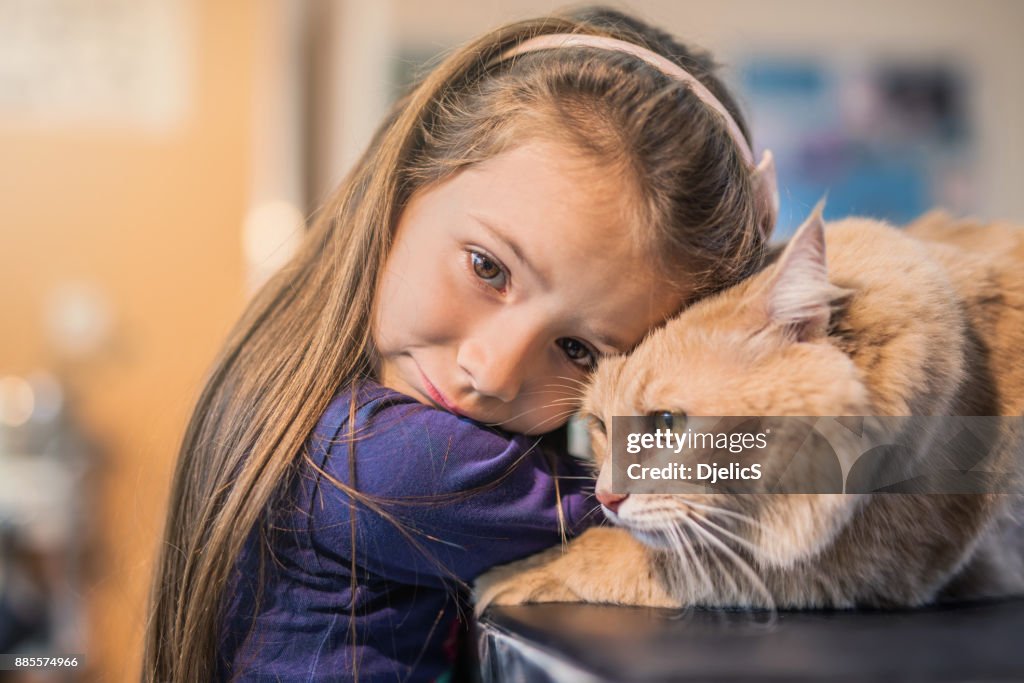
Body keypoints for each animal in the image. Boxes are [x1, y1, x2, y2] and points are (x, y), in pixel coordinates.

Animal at [475, 206, 1024, 610]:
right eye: (599, 427)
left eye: (668, 423)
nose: (606, 498)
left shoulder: (862, 560)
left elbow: (628, 555)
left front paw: (513, 574)